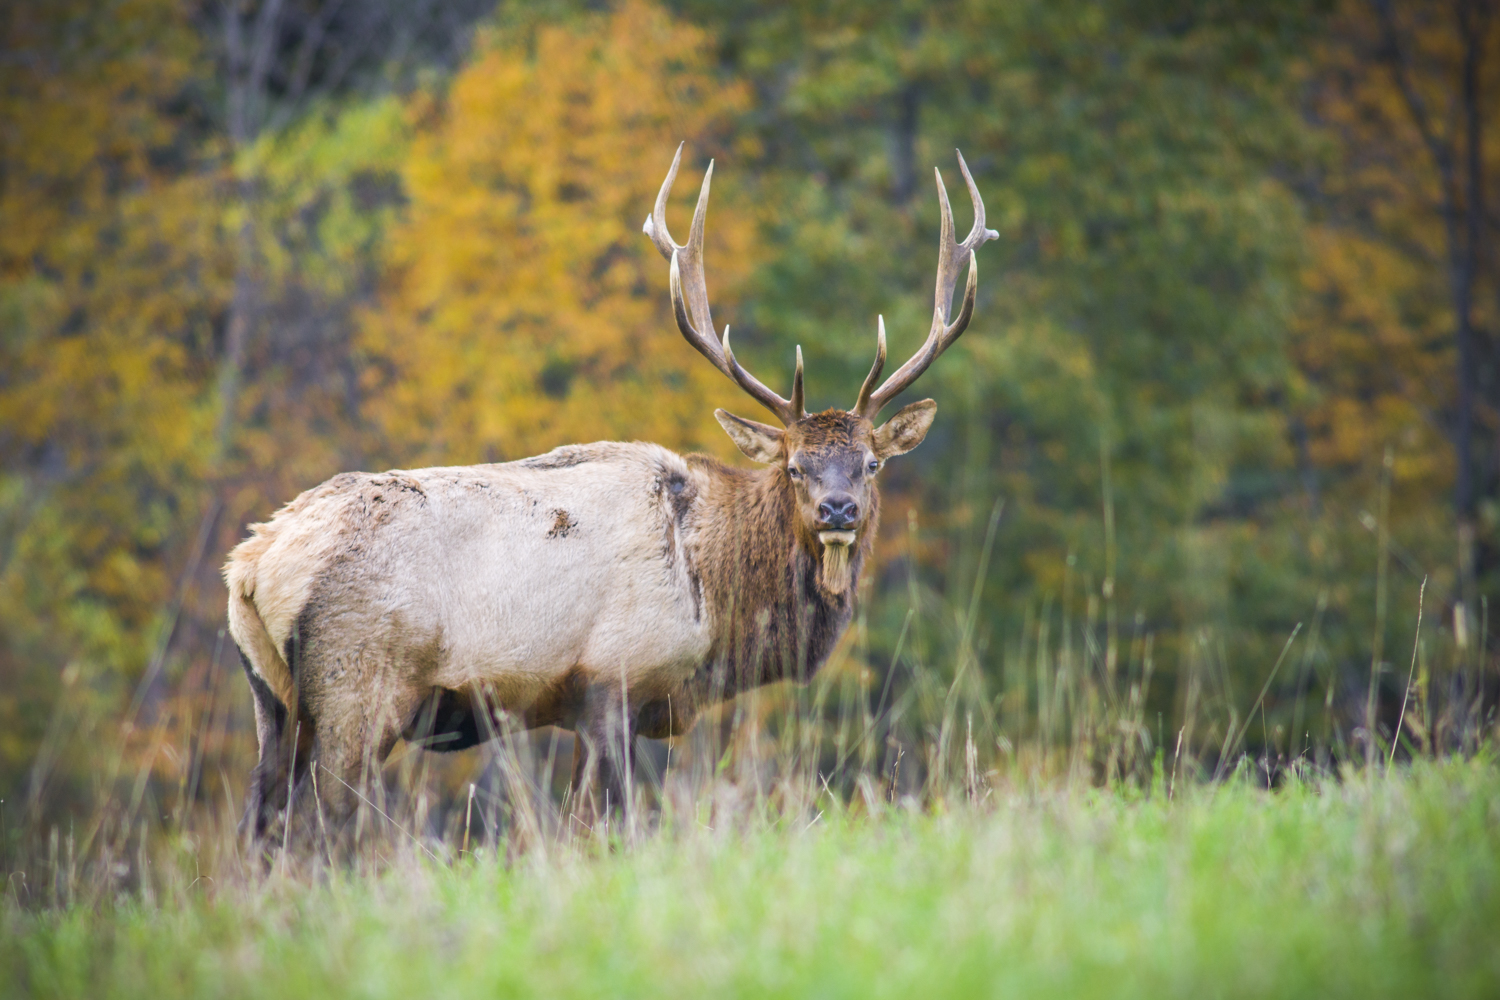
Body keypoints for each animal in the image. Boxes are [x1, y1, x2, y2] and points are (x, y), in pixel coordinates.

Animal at [224, 145, 996, 839]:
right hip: (359, 687)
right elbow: (610, 827)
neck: (715, 599)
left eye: (870, 464)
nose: (839, 510)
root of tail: (251, 565)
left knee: (260, 823)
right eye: (795, 467)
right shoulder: (615, 680)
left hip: (273, 702)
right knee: (319, 827)